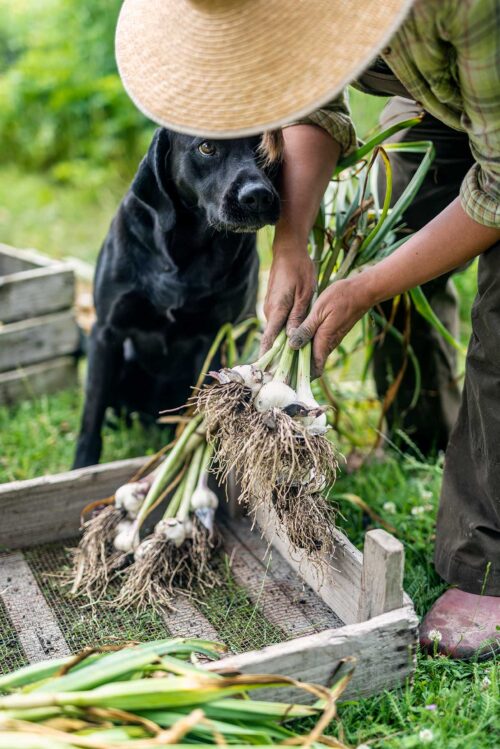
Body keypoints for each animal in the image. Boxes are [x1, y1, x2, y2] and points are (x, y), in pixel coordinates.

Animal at [75, 129, 282, 468]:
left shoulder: (214, 340)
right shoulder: (106, 333)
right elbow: (91, 416)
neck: (185, 249)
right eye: (207, 147)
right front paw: (81, 469)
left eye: (264, 146)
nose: (257, 196)